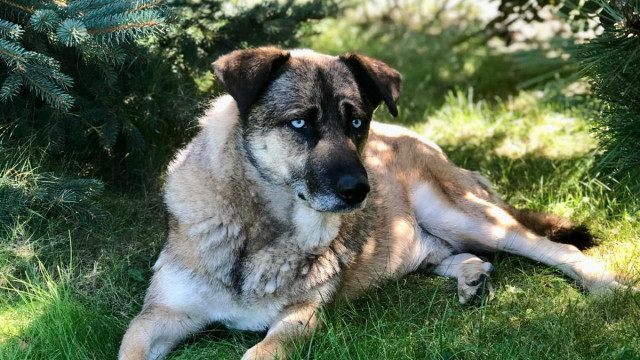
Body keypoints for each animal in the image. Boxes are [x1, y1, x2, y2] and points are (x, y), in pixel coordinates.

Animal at [117, 47, 628, 360]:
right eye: (300, 123)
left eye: (358, 122)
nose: (360, 191)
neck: (261, 229)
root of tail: (425, 142)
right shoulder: (158, 317)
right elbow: (131, 345)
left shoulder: (299, 318)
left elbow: (260, 350)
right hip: (427, 240)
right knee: (456, 256)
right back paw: (472, 279)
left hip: (463, 216)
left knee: (553, 248)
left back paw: (605, 285)